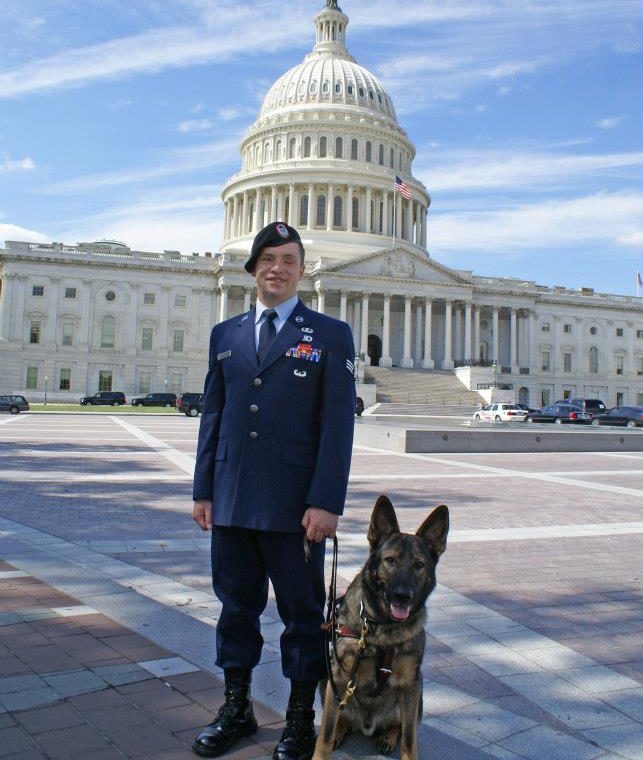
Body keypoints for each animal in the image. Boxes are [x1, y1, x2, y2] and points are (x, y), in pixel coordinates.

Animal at [312, 496, 448, 760]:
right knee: (340, 718)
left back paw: (388, 736)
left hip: (417, 696)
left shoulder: (411, 684)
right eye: (390, 561)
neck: (383, 629)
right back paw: (342, 730)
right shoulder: (339, 678)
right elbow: (324, 736)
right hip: (326, 680)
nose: (402, 596)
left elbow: (409, 740)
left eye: (419, 565)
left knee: (401, 726)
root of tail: (366, 726)